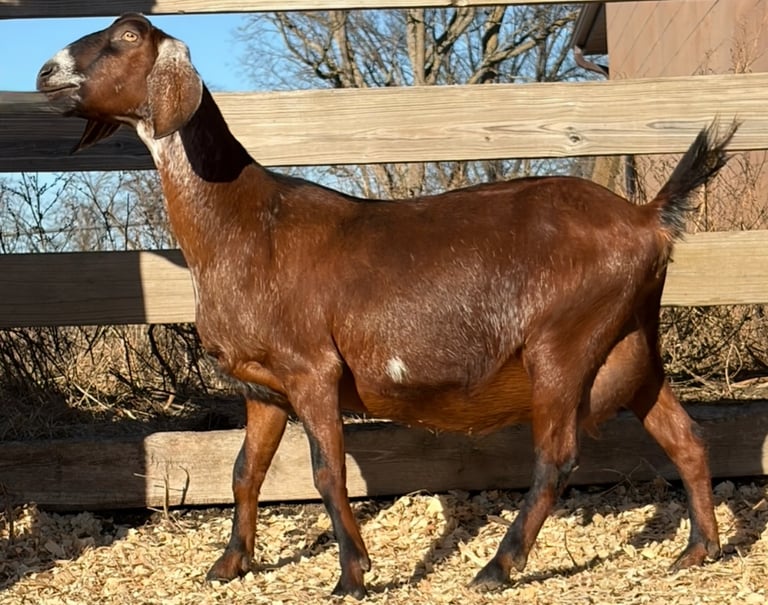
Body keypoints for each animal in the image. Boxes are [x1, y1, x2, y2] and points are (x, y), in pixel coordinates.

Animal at [37, 13, 736, 599]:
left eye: (127, 37)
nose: (45, 72)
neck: (246, 223)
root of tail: (646, 218)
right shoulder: (263, 385)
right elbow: (244, 470)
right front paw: (228, 565)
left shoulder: (312, 369)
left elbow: (326, 472)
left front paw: (352, 574)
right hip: (631, 345)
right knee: (686, 437)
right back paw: (698, 551)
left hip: (563, 342)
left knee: (556, 457)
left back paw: (497, 566)